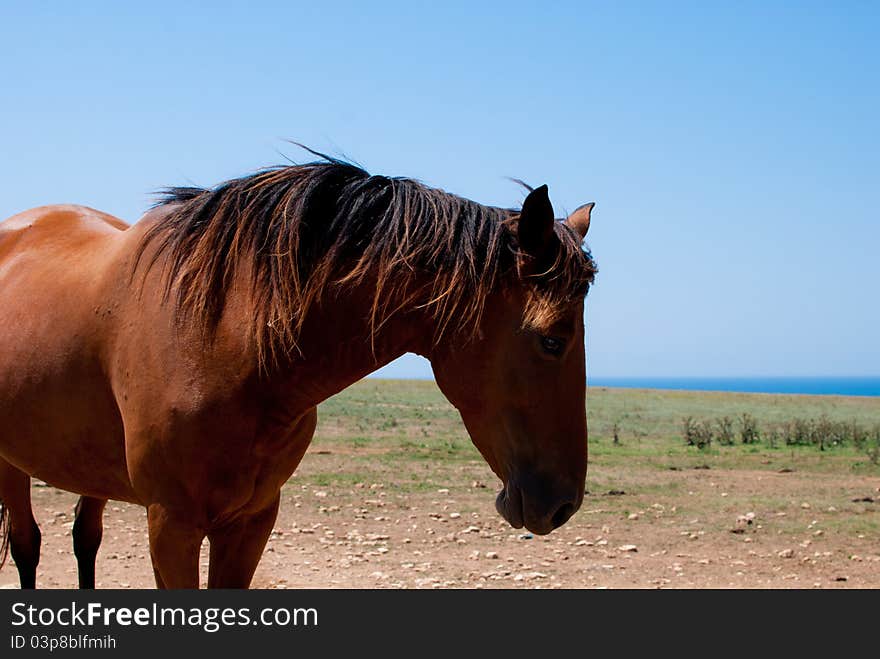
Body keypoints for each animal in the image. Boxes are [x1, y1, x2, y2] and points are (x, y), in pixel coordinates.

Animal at [0, 155, 600, 588]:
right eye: (552, 340)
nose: (563, 505)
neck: (227, 341)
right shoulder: (170, 525)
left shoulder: (252, 521)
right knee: (28, 547)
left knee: (84, 540)